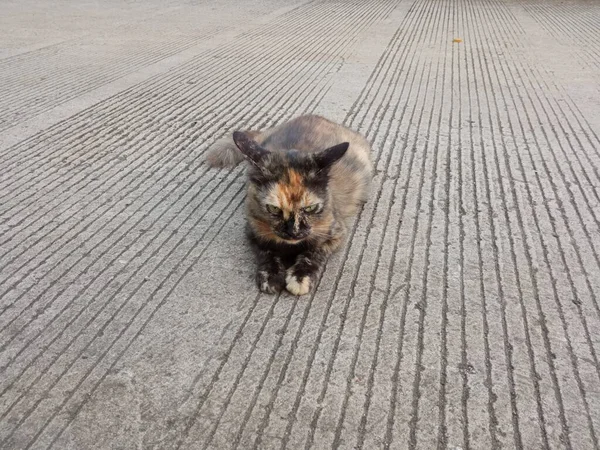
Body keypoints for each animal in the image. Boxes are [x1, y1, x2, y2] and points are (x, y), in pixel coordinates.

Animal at [209, 115, 372, 296]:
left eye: (310, 208)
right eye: (274, 209)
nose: (294, 232)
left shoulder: (335, 233)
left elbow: (313, 253)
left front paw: (300, 278)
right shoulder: (253, 230)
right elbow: (266, 252)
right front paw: (271, 275)